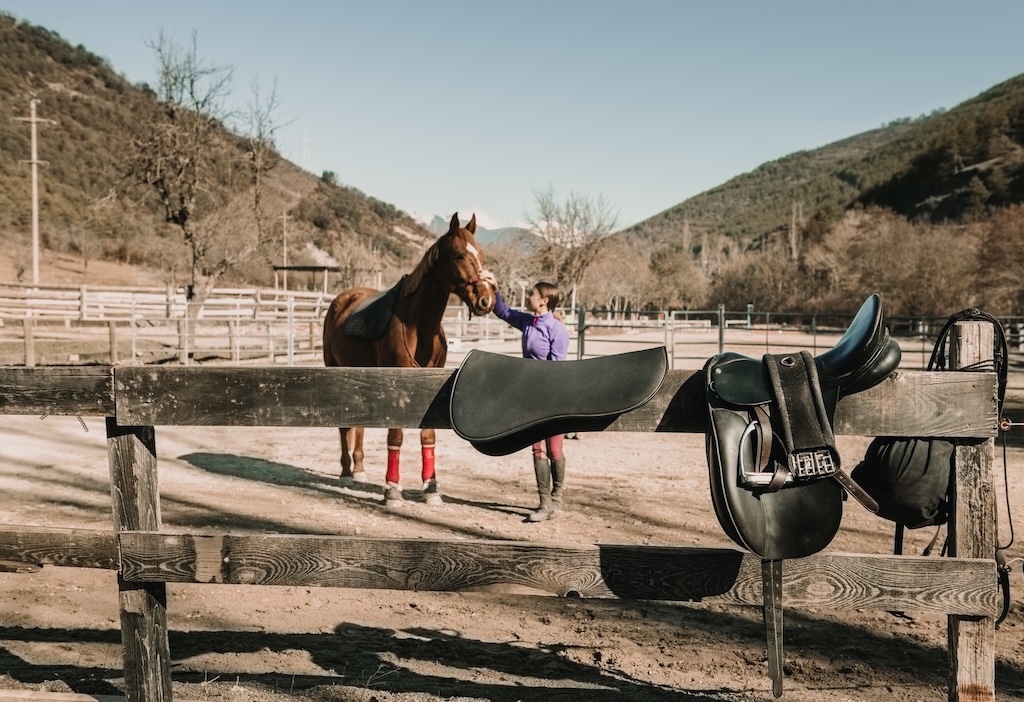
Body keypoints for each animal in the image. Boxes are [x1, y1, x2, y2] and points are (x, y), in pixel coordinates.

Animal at [321, 211, 493, 509]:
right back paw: (346, 473)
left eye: (480, 254)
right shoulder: (396, 385)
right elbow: (396, 435)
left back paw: (359, 468)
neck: (418, 326)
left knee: (359, 425)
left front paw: (431, 488)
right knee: (344, 427)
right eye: (459, 255)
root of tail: (341, 301)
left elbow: (428, 435)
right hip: (334, 369)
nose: (486, 300)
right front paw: (392, 490)